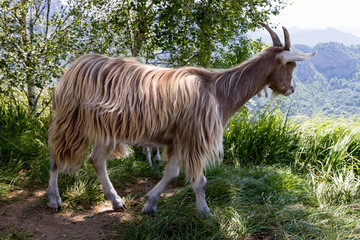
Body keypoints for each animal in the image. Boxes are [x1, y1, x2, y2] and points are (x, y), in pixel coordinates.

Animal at [47, 23, 316, 216]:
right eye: (291, 65)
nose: (292, 89)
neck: (219, 91)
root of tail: (76, 65)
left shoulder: (177, 139)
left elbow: (172, 174)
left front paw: (150, 204)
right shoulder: (194, 139)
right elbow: (200, 181)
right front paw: (205, 212)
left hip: (106, 126)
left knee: (97, 160)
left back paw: (115, 200)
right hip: (72, 119)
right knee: (56, 156)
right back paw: (54, 198)